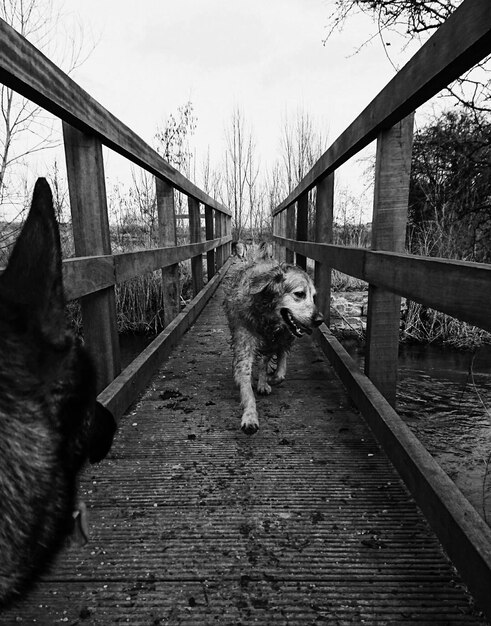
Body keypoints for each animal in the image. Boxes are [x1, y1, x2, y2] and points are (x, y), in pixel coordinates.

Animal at [225, 258, 324, 434]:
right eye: (300, 294)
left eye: (313, 297)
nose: (320, 320)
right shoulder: (245, 343)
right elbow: (245, 381)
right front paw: (250, 416)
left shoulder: (278, 339)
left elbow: (276, 369)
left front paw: (268, 379)